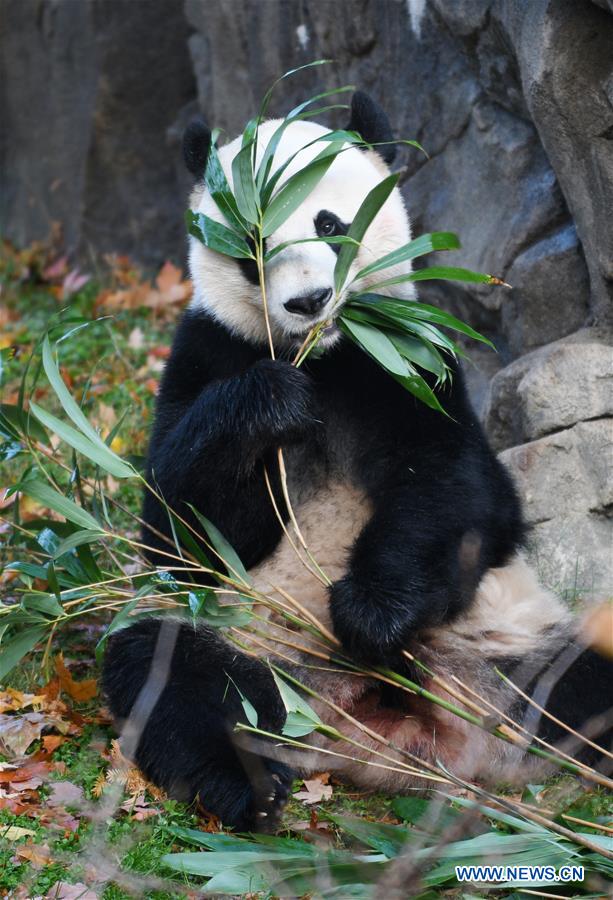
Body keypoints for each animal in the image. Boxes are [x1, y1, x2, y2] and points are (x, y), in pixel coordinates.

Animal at [101, 91, 612, 828]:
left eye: (331, 223)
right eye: (255, 243)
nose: (308, 301)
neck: (326, 353)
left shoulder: (410, 364)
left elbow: (459, 492)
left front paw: (369, 612)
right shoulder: (207, 350)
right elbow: (180, 531)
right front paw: (269, 402)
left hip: (510, 637)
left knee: (583, 678)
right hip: (238, 636)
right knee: (171, 677)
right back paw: (250, 786)